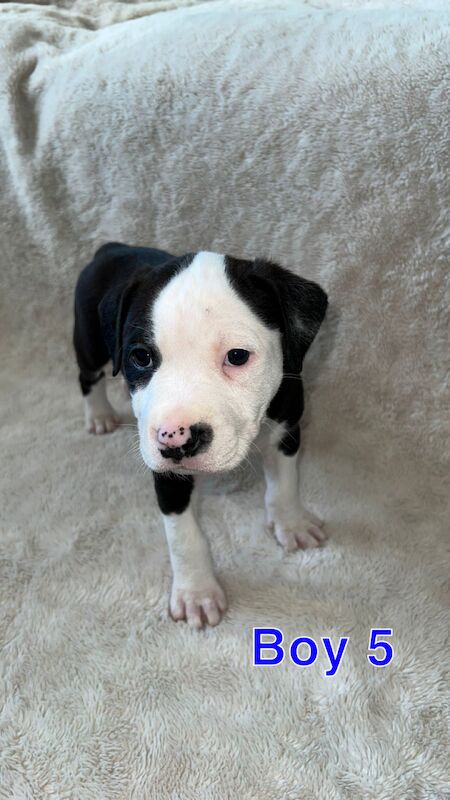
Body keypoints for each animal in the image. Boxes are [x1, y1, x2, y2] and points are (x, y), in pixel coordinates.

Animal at [74, 241, 326, 628]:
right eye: (141, 356)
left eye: (237, 356)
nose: (175, 438)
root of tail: (113, 247)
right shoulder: (167, 475)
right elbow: (184, 537)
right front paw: (197, 592)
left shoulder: (287, 426)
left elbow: (284, 483)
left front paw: (291, 522)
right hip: (89, 339)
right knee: (88, 374)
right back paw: (99, 413)